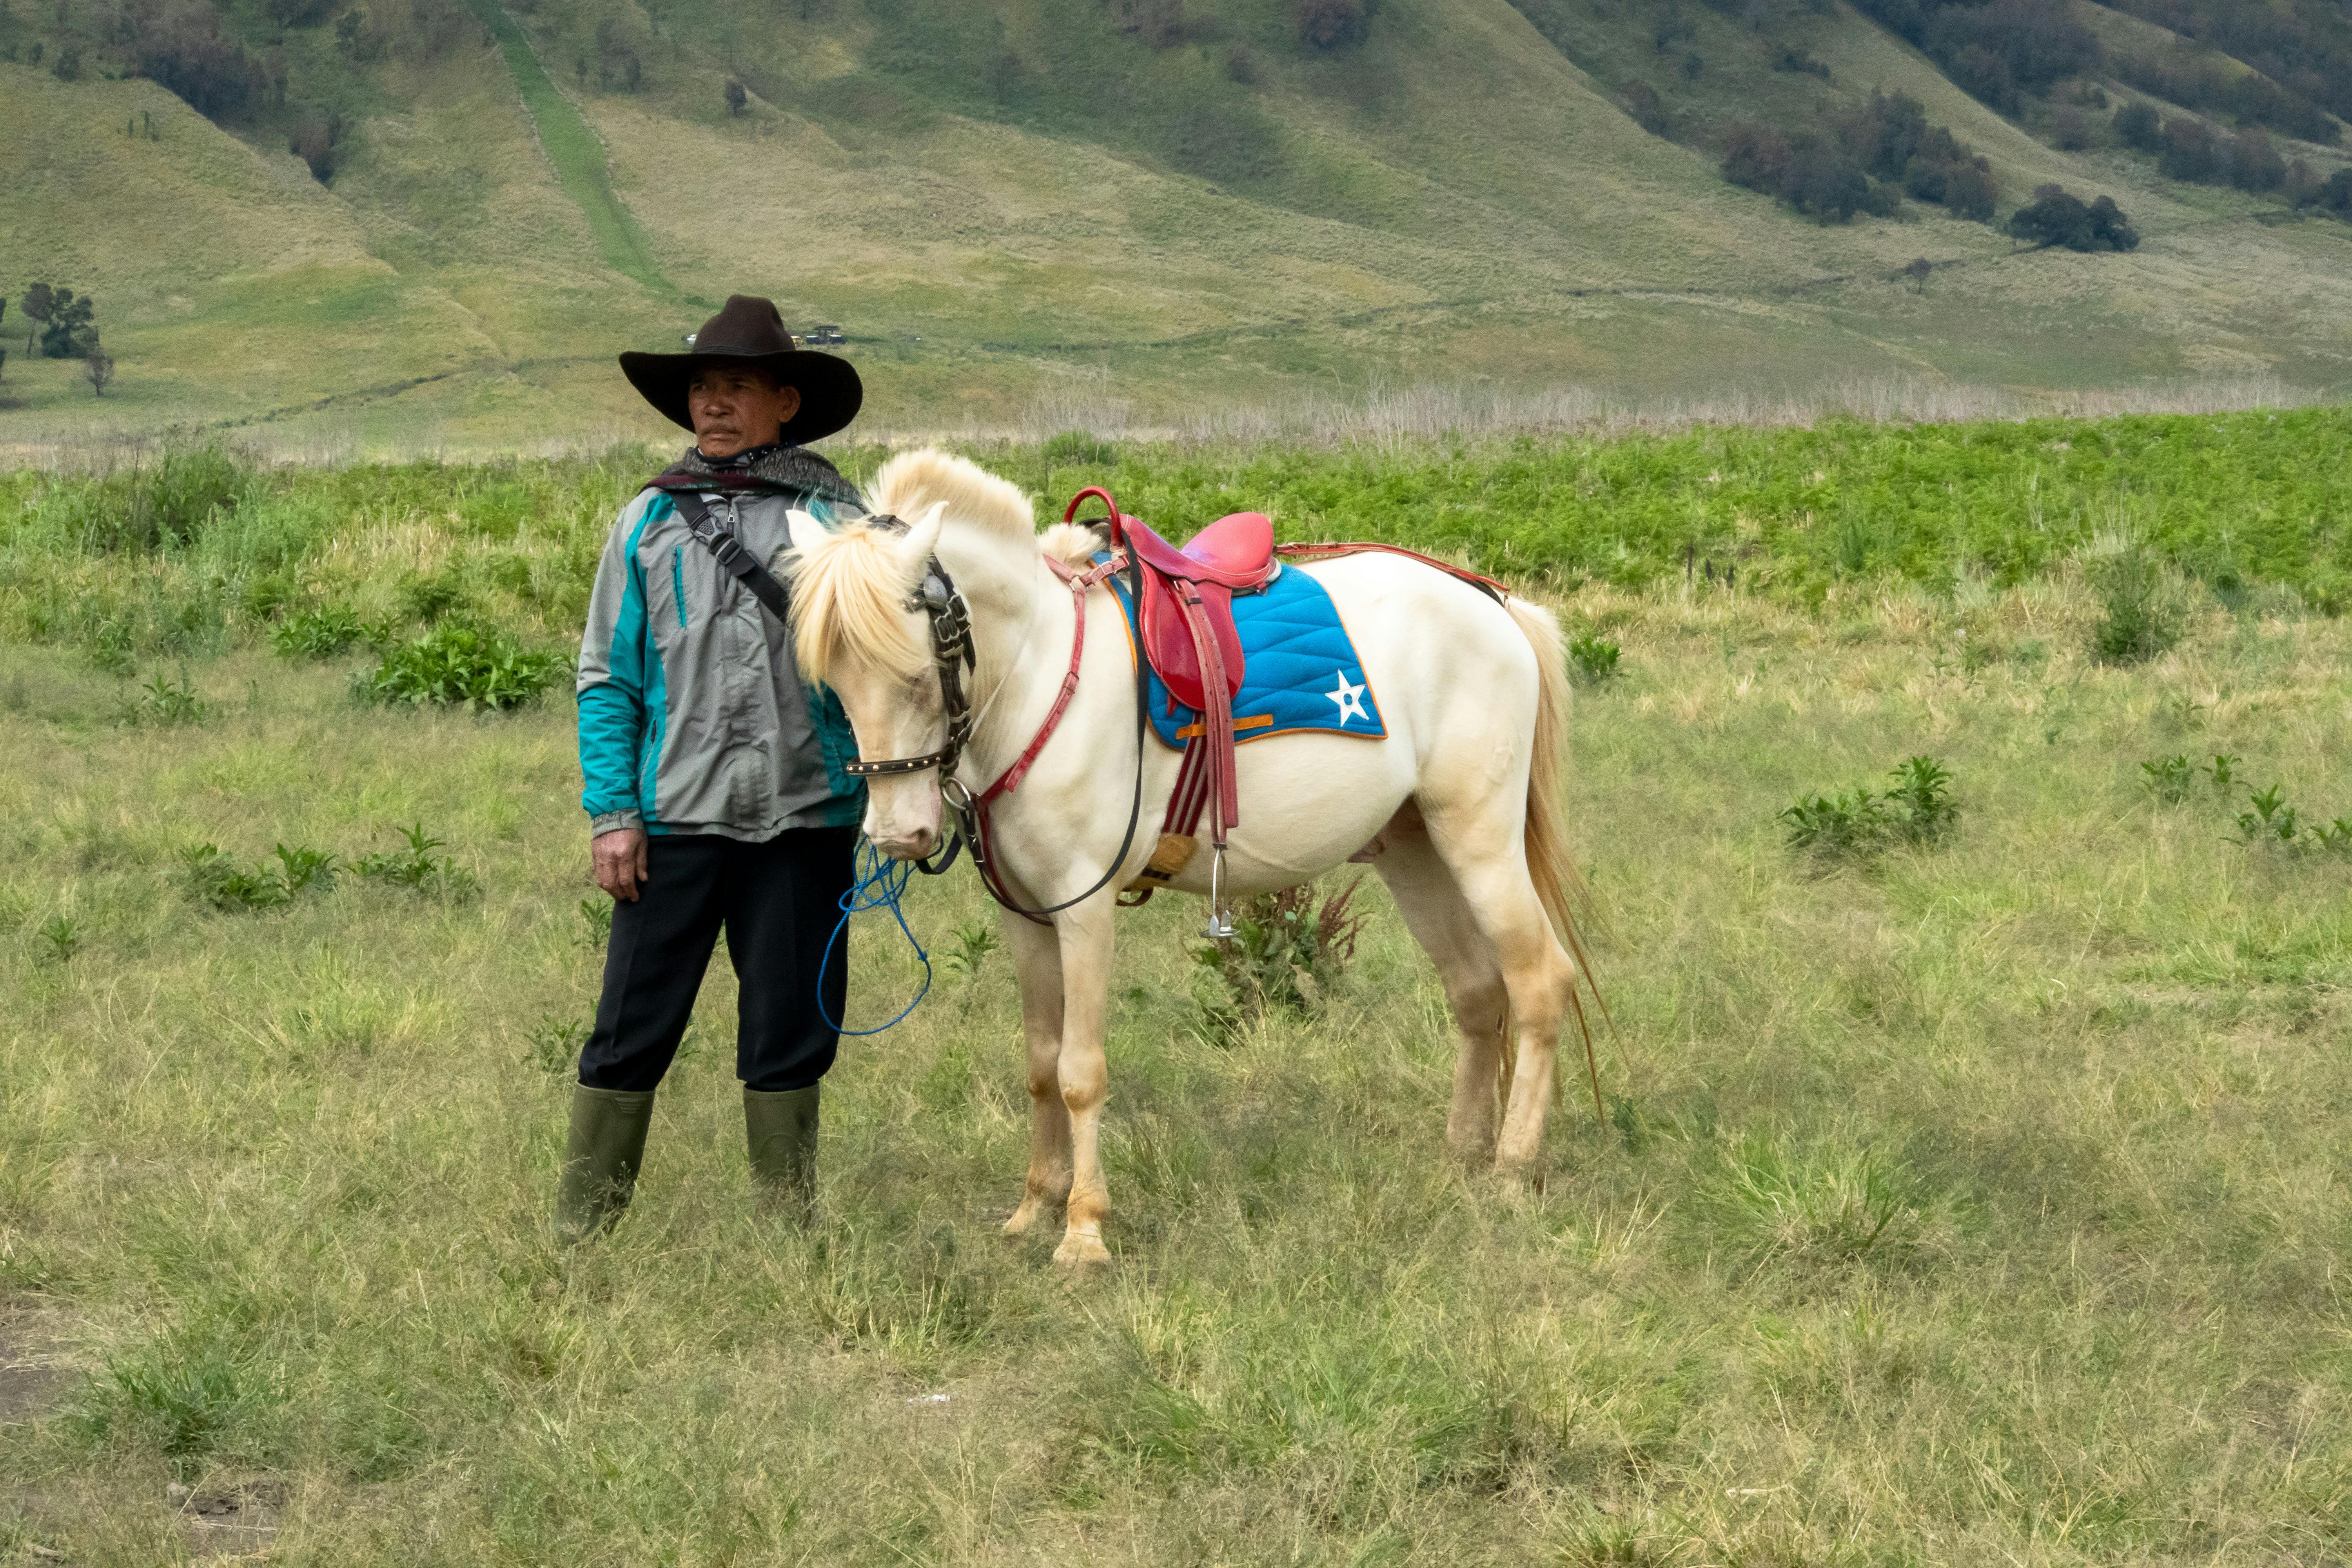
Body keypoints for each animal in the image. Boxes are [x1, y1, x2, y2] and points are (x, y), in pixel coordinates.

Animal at [795, 451, 1599, 1260]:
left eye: (915, 674)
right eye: (835, 683)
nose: (898, 835)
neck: (1044, 677)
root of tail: (1494, 605)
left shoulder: (1084, 908)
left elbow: (1080, 1070)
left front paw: (1084, 1229)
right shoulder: (1028, 917)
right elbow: (1041, 1065)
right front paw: (1035, 1206)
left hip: (1479, 843)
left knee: (1538, 982)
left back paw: (1511, 1171)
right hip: (1415, 852)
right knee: (1477, 993)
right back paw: (1463, 1156)